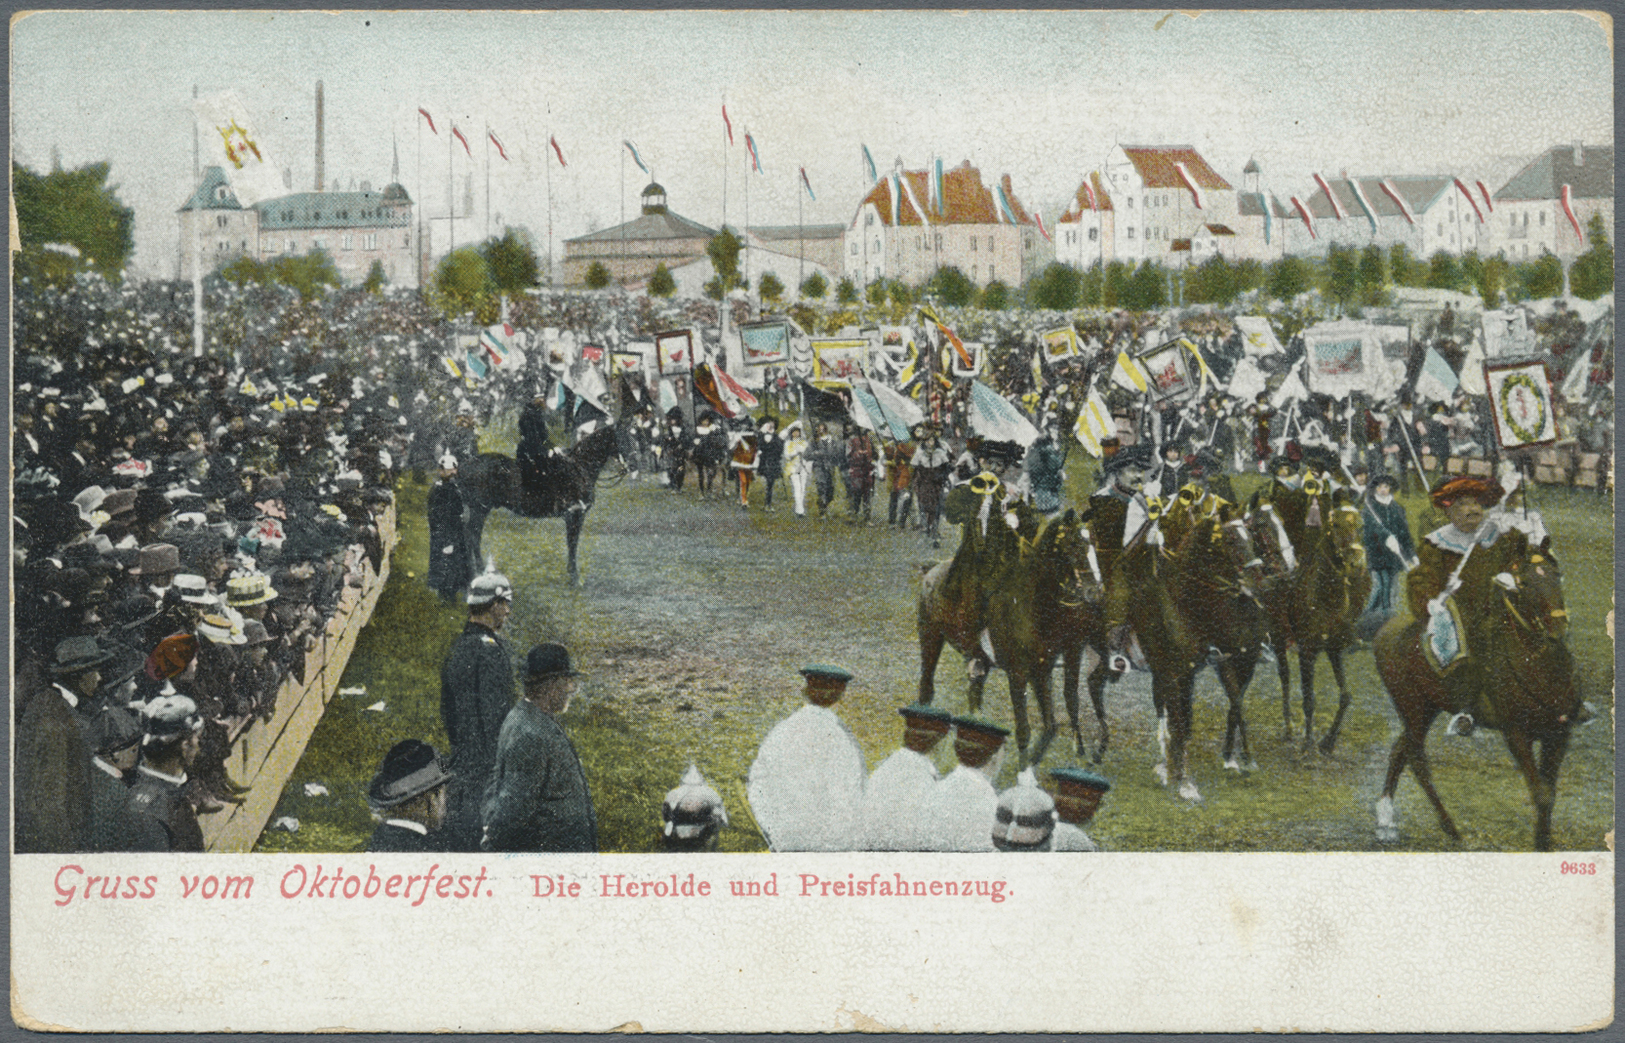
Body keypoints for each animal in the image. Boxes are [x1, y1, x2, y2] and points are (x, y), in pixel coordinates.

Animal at [464, 422, 627, 584]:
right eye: (622, 438)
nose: (630, 465)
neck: (579, 468)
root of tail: (470, 463)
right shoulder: (575, 514)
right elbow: (572, 543)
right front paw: (574, 577)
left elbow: (572, 543)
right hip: (479, 509)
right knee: (474, 535)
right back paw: (479, 570)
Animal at [1371, 532, 1586, 851]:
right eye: (1524, 582)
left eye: (1556, 575)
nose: (1557, 630)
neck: (1540, 667)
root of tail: (1386, 630)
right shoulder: (1516, 734)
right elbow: (1541, 793)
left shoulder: (1558, 733)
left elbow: (1549, 793)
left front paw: (1543, 841)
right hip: (1412, 707)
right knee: (1416, 759)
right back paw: (1448, 827)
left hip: (1427, 708)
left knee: (1400, 751)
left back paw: (1387, 821)